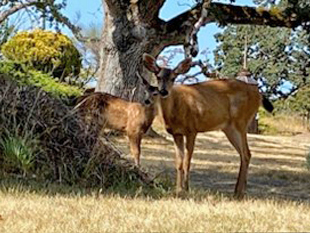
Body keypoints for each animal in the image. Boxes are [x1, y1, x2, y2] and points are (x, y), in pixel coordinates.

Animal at [143, 53, 274, 198]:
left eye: (173, 78)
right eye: (158, 77)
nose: (164, 91)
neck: (175, 110)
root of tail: (258, 94)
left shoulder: (192, 129)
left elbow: (187, 162)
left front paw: (186, 189)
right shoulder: (176, 133)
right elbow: (179, 163)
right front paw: (177, 190)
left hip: (241, 121)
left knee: (246, 153)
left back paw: (239, 192)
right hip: (229, 128)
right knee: (245, 154)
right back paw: (238, 191)